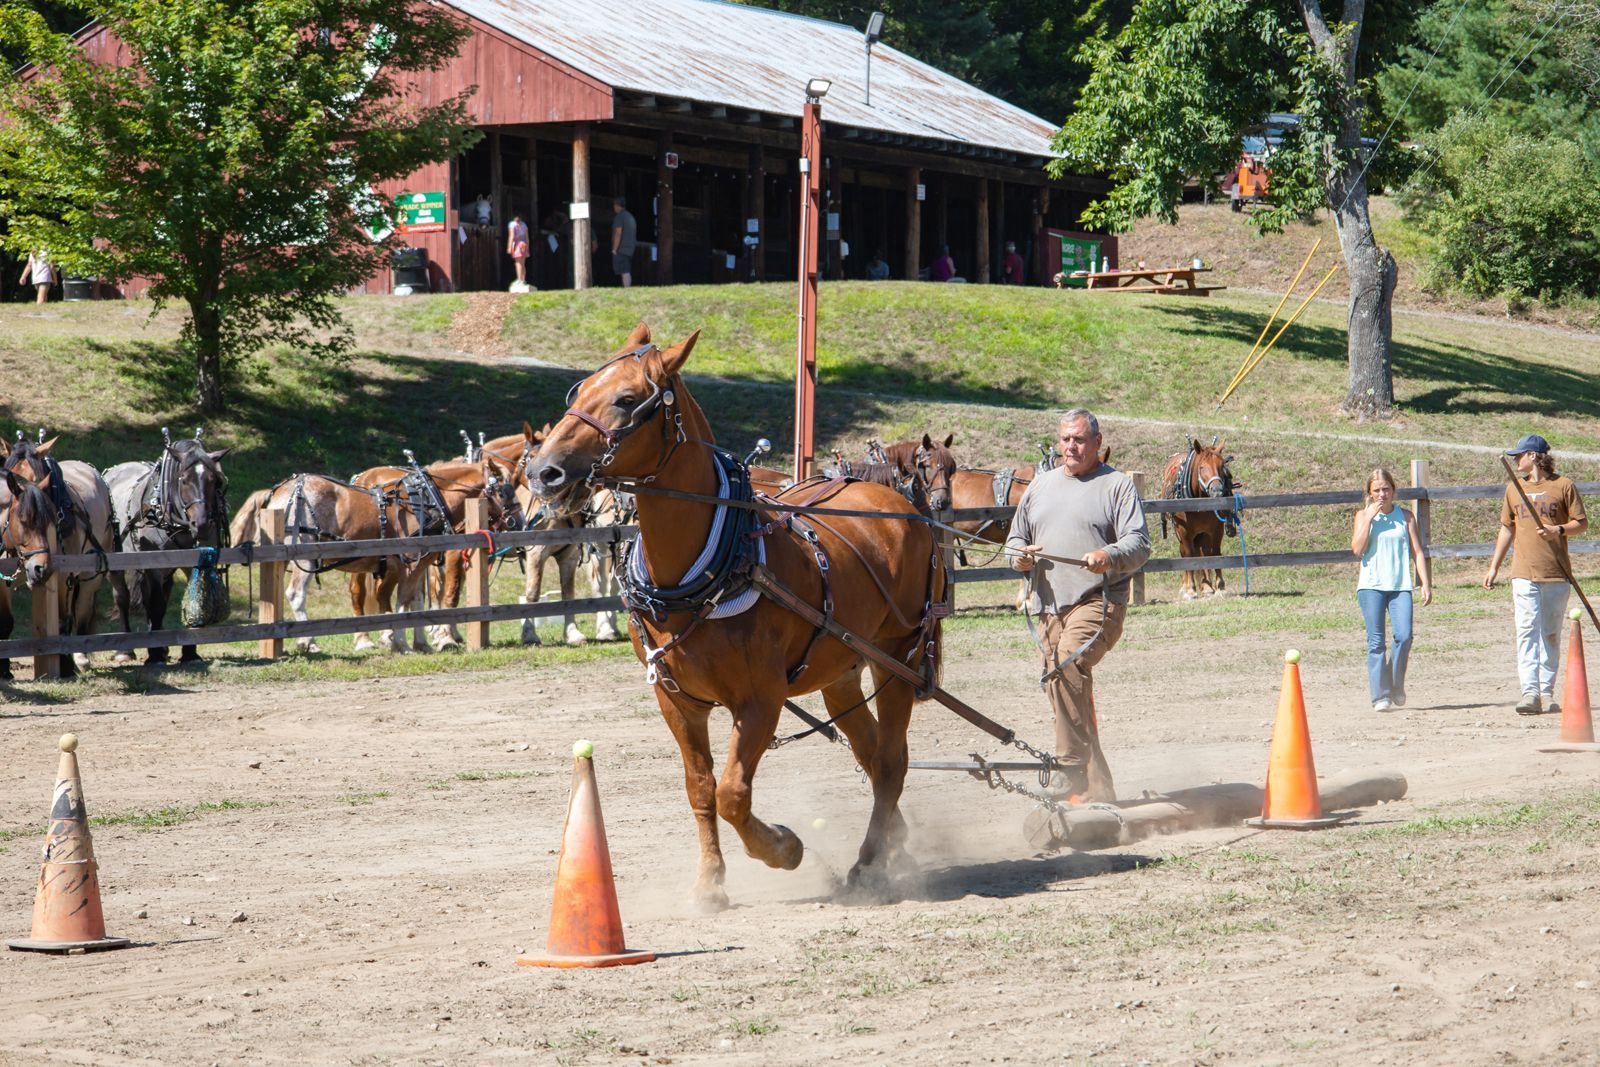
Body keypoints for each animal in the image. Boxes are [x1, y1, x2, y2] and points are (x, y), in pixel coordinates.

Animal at [1, 450, 116, 678]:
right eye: (23, 520)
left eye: (48, 520)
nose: (40, 567)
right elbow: (6, 622)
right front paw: (4, 669)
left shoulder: (62, 577)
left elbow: (63, 619)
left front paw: (64, 665)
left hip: (90, 576)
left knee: (80, 610)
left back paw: (80, 657)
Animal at [103, 432, 231, 665]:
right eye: (184, 479)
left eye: (214, 480)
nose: (201, 524)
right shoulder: (153, 565)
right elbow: (155, 604)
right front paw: (154, 655)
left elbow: (191, 600)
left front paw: (189, 653)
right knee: (123, 598)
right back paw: (125, 650)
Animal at [534, 323, 945, 911]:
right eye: (580, 389)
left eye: (627, 400)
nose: (542, 471)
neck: (705, 569)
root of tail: (905, 506)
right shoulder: (677, 701)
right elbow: (702, 788)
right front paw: (710, 881)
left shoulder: (759, 700)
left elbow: (733, 792)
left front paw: (784, 848)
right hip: (841, 674)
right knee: (871, 755)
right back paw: (895, 844)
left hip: (898, 660)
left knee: (891, 762)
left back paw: (868, 864)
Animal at [1159, 435, 1239, 599]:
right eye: (1202, 467)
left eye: (1222, 466)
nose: (1217, 491)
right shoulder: (1183, 530)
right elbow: (1189, 555)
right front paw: (1190, 589)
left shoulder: (1216, 529)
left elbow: (1214, 553)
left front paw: (1219, 586)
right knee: (1185, 552)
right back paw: (1187, 586)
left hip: (1202, 533)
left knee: (1203, 552)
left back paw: (1206, 585)